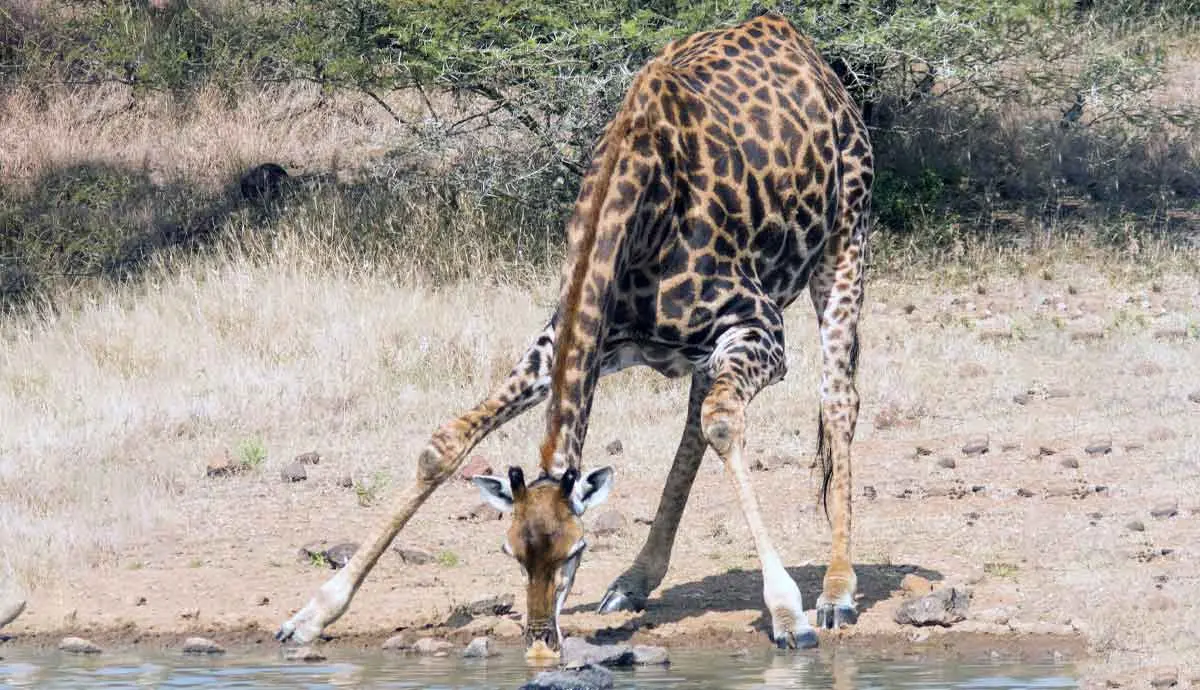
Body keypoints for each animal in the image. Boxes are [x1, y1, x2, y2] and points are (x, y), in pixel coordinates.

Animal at [272, 13, 873, 657]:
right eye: (511, 552)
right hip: (708, 347)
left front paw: (787, 612)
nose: (540, 643)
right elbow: (444, 443)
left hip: (845, 242)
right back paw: (634, 582)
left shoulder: (760, 328)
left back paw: (837, 591)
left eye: (576, 550)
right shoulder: (568, 342)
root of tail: (796, 40)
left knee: (837, 398)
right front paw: (312, 613)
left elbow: (724, 424)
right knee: (695, 417)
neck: (639, 219)